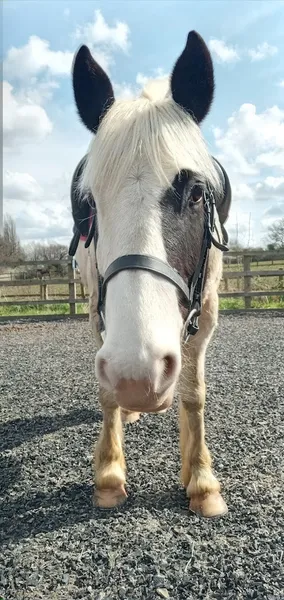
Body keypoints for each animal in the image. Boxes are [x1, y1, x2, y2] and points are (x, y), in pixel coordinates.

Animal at [70, 30, 232, 516]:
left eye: (196, 192)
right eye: (89, 203)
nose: (136, 377)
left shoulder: (207, 310)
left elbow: (194, 394)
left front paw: (201, 480)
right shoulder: (97, 310)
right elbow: (105, 392)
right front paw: (109, 474)